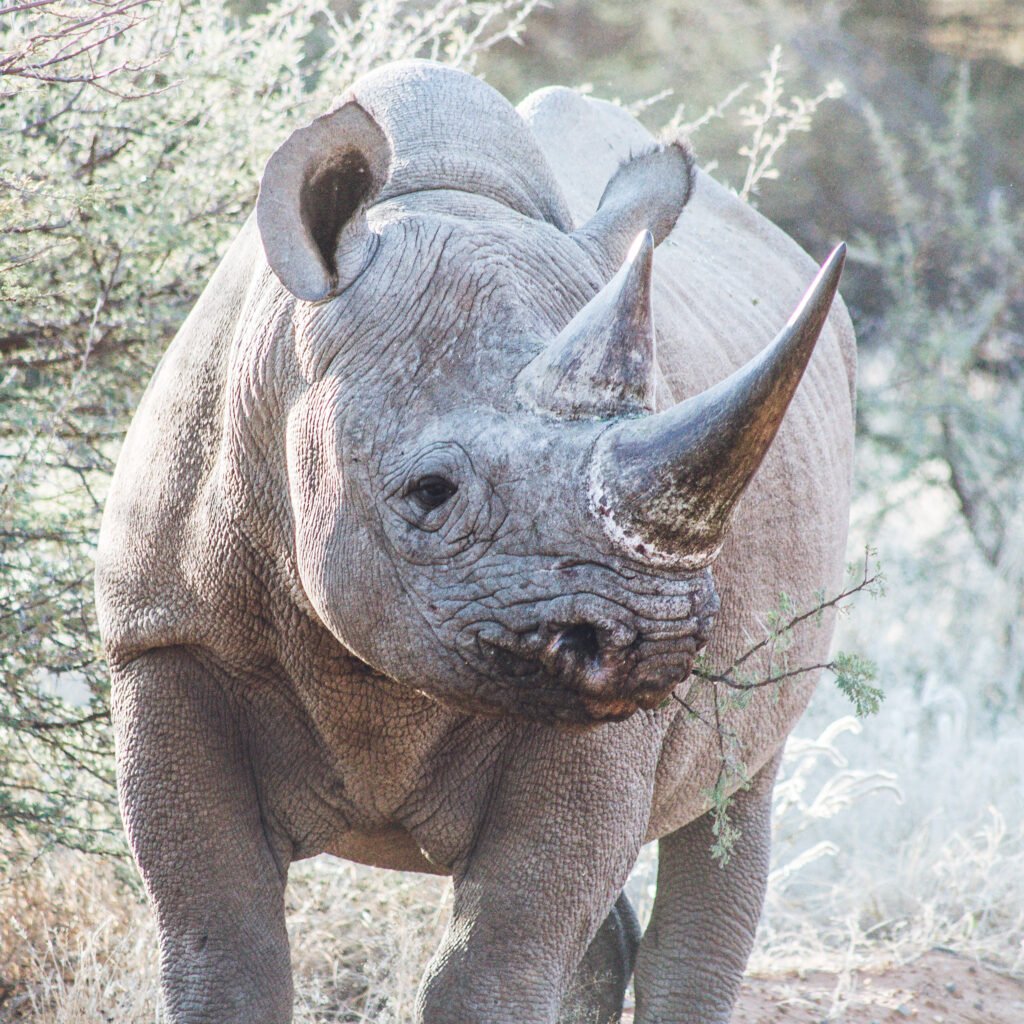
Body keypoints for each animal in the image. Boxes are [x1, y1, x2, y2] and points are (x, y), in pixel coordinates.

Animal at [95, 59, 855, 1024]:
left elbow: (499, 960)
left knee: (730, 803)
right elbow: (221, 947)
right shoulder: (167, 636)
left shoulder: (601, 713)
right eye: (430, 494)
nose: (656, 639)